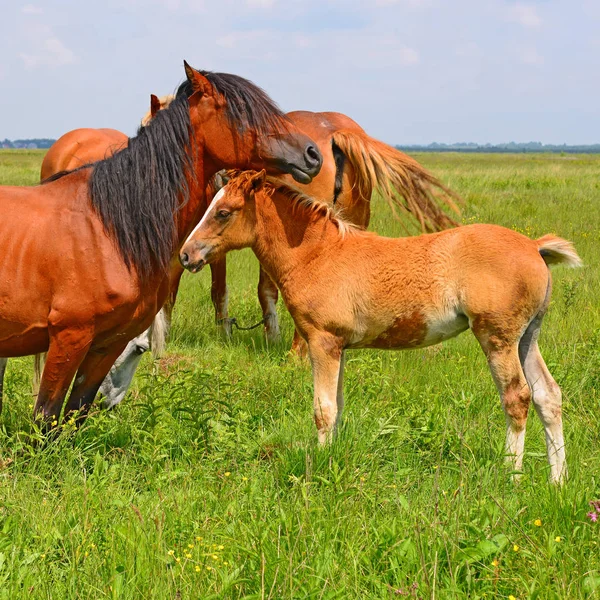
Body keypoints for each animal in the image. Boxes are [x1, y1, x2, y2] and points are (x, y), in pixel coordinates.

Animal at [0, 62, 324, 426]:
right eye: (244, 113)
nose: (313, 154)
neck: (109, 225)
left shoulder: (106, 343)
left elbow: (74, 416)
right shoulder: (69, 339)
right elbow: (47, 421)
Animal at [179, 171, 580, 486]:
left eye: (223, 212)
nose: (186, 255)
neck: (317, 254)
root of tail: (534, 246)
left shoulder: (322, 342)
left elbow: (323, 409)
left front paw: (319, 468)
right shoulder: (339, 346)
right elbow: (338, 406)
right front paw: (334, 458)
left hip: (498, 338)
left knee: (517, 397)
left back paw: (511, 476)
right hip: (527, 338)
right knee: (548, 395)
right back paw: (557, 480)